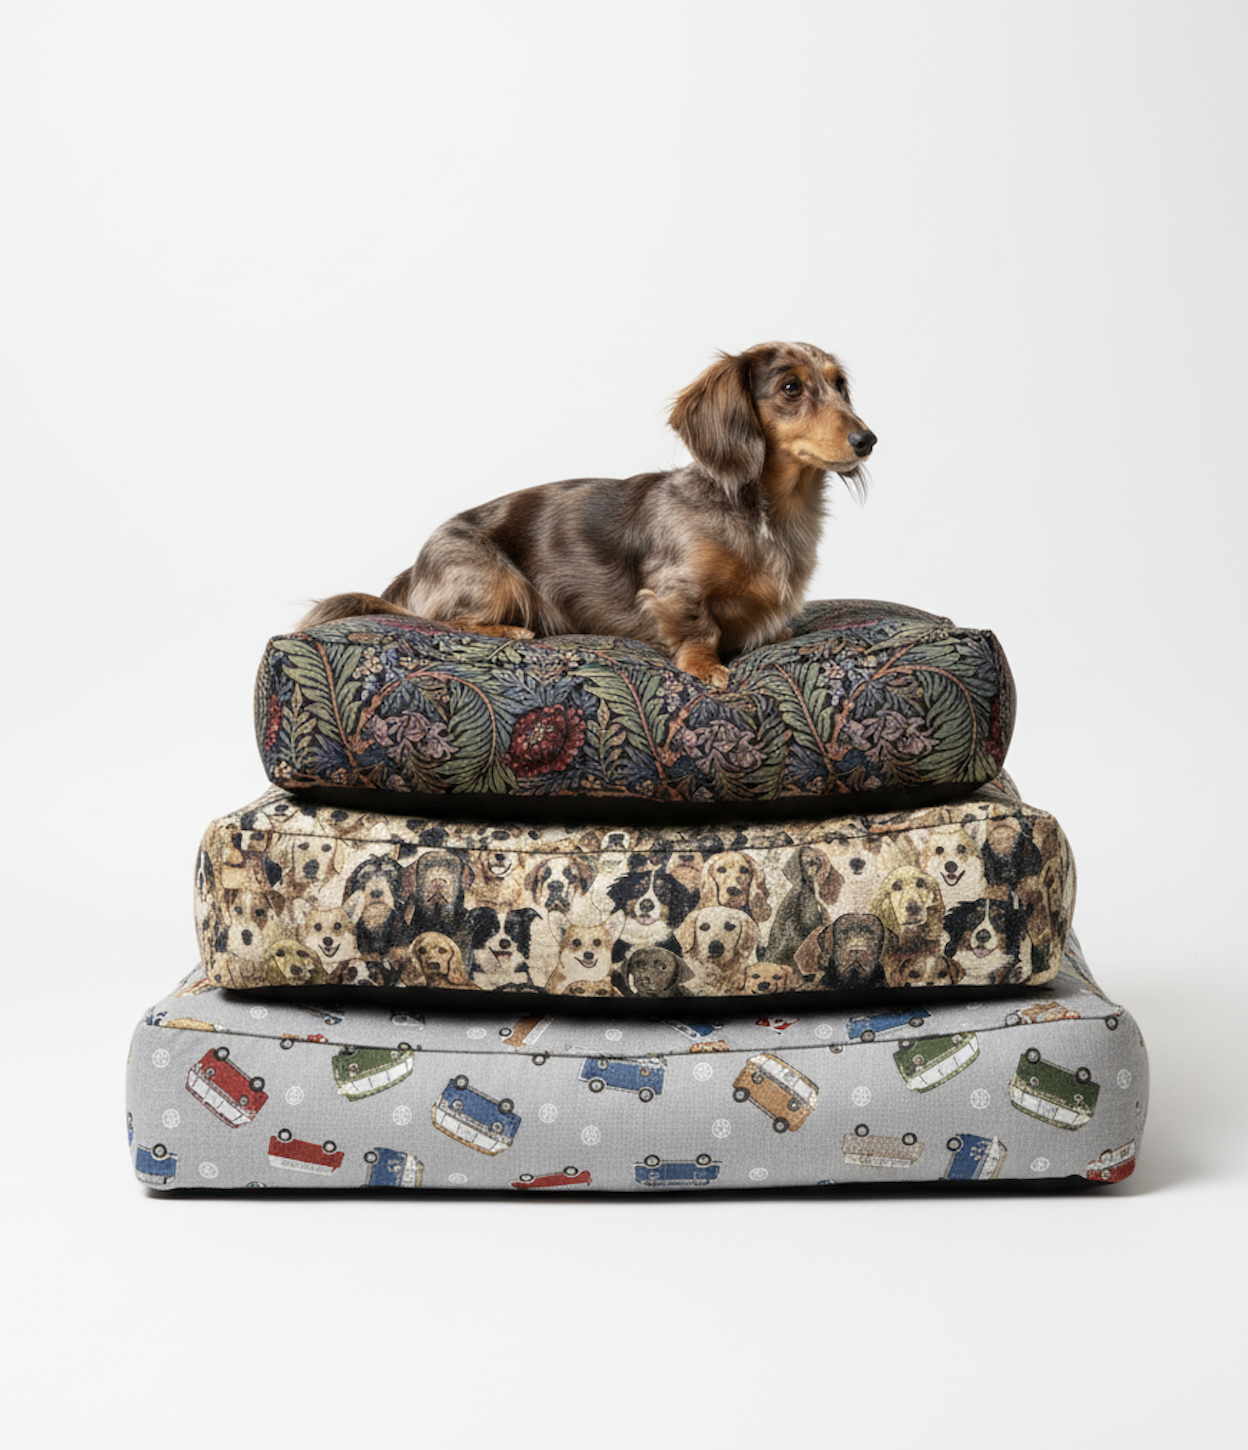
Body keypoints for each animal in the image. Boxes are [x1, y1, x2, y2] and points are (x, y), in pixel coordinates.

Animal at [297, 343, 874, 687]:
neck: (765, 516)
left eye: (839, 384)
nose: (867, 440)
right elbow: (699, 628)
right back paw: (511, 632)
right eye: (791, 388)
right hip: (498, 580)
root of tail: (411, 572)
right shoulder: (672, 589)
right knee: (436, 619)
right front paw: (707, 667)